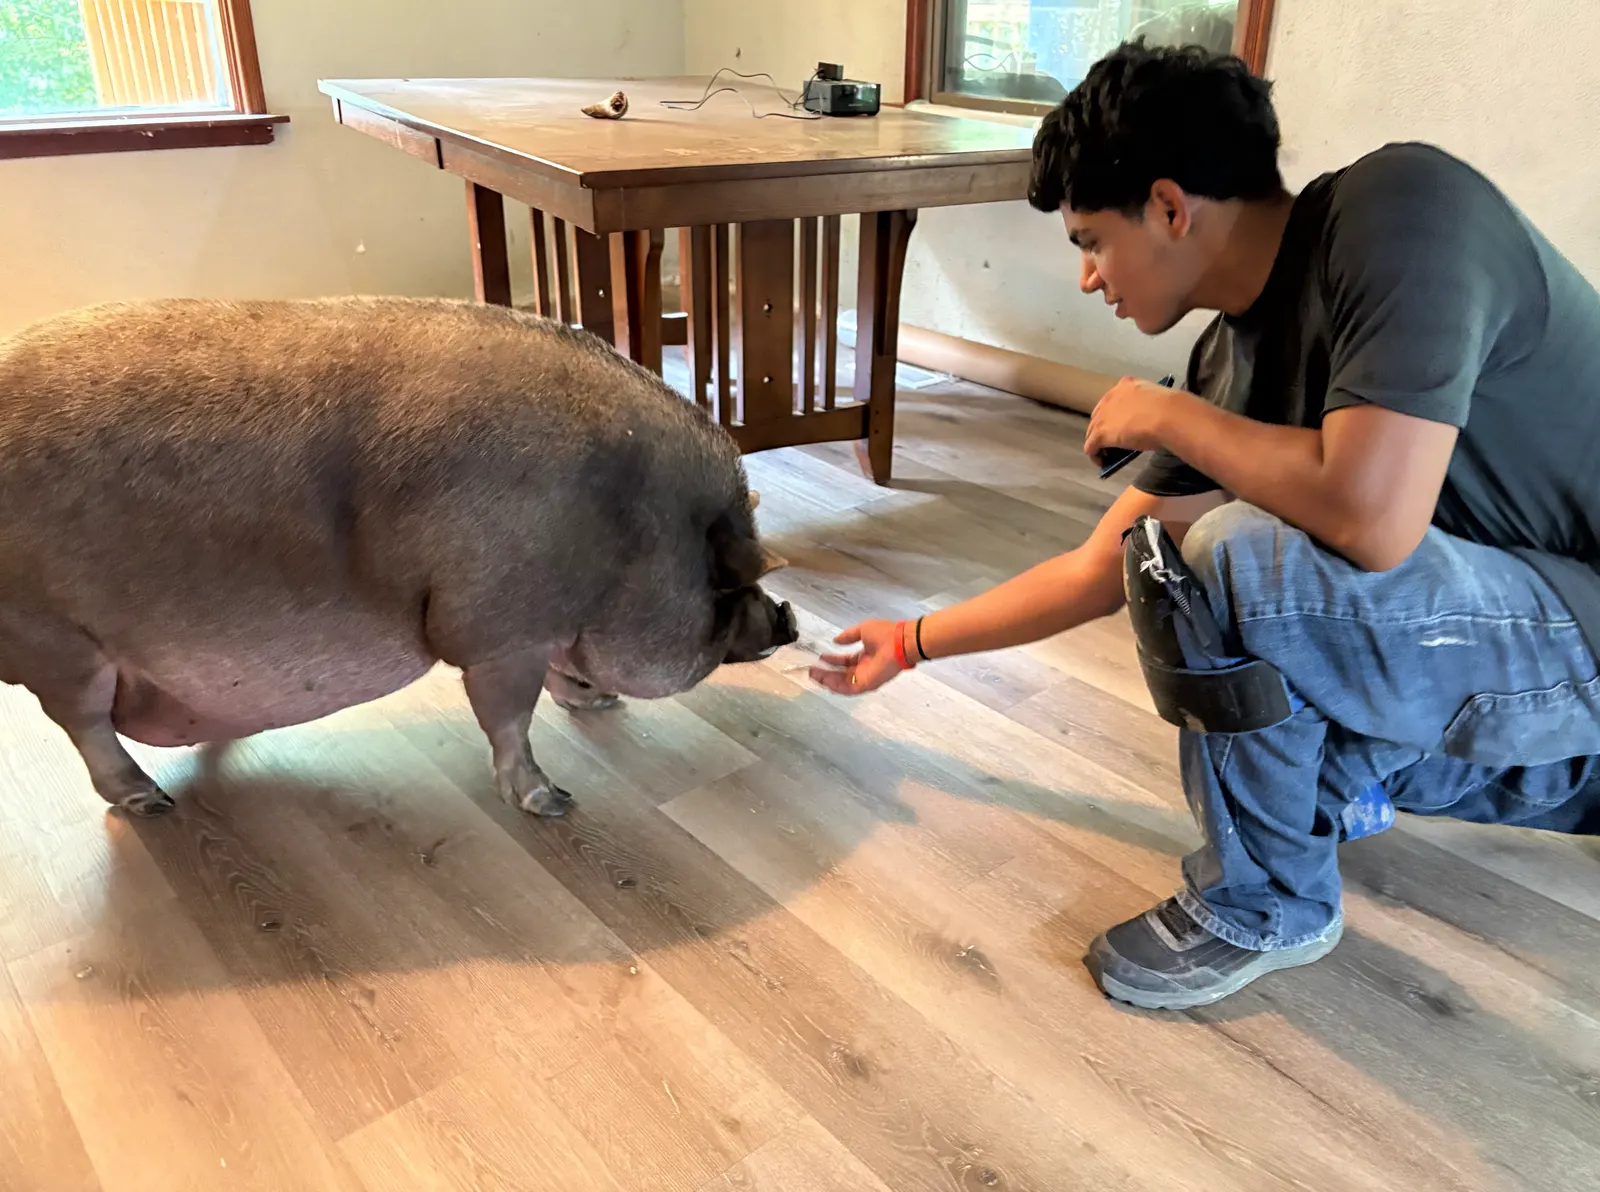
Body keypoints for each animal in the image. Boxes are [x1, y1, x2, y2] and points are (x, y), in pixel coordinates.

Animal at [0, 295, 797, 818]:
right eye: (726, 585)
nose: (788, 620)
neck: (630, 529)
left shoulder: (541, 625)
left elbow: (559, 679)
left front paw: (597, 701)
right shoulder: (494, 629)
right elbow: (507, 717)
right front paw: (553, 802)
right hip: (56, 645)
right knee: (84, 727)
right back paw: (152, 802)